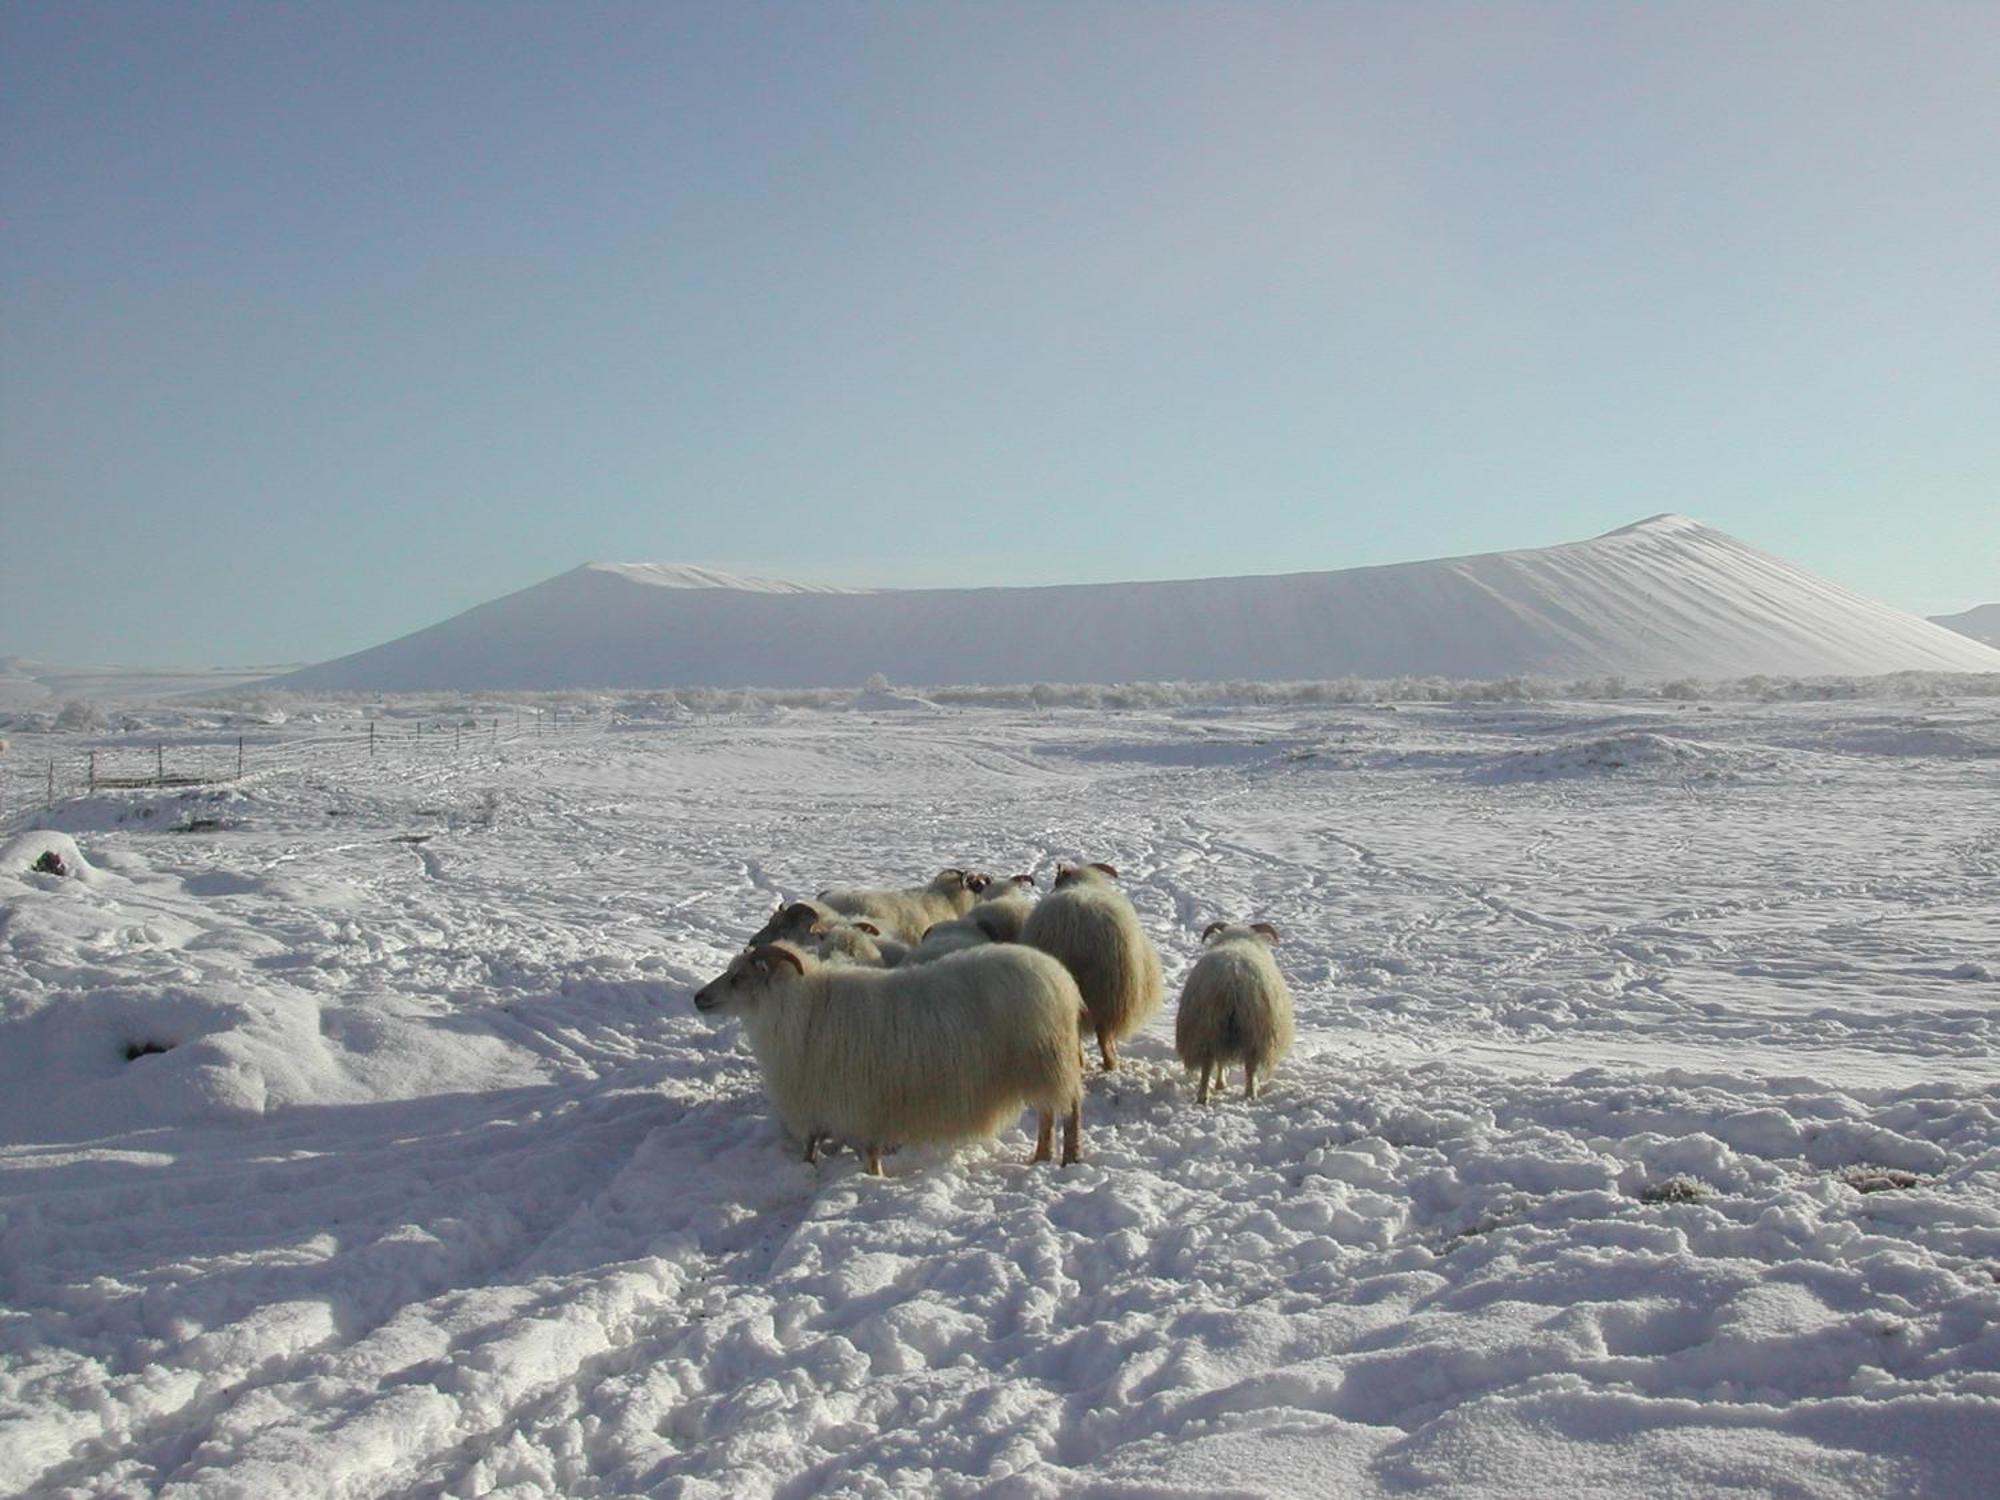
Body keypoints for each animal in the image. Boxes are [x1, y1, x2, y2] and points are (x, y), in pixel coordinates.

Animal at [696, 940, 1088, 1176]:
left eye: (738, 977)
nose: (699, 998)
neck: (802, 1009)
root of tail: (1059, 975)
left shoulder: (864, 1104)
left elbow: (870, 1153)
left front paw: (875, 1179)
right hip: (1039, 1064)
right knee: (1047, 1112)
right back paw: (1040, 1157)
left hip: (1046, 1058)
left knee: (1068, 1108)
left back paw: (1068, 1159)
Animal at [1168, 916, 1296, 1104]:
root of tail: (1231, 978)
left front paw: (1220, 1085)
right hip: (1252, 1031)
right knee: (1247, 1066)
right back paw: (1250, 1093)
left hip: (1209, 1028)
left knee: (1210, 1062)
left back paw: (1203, 1096)